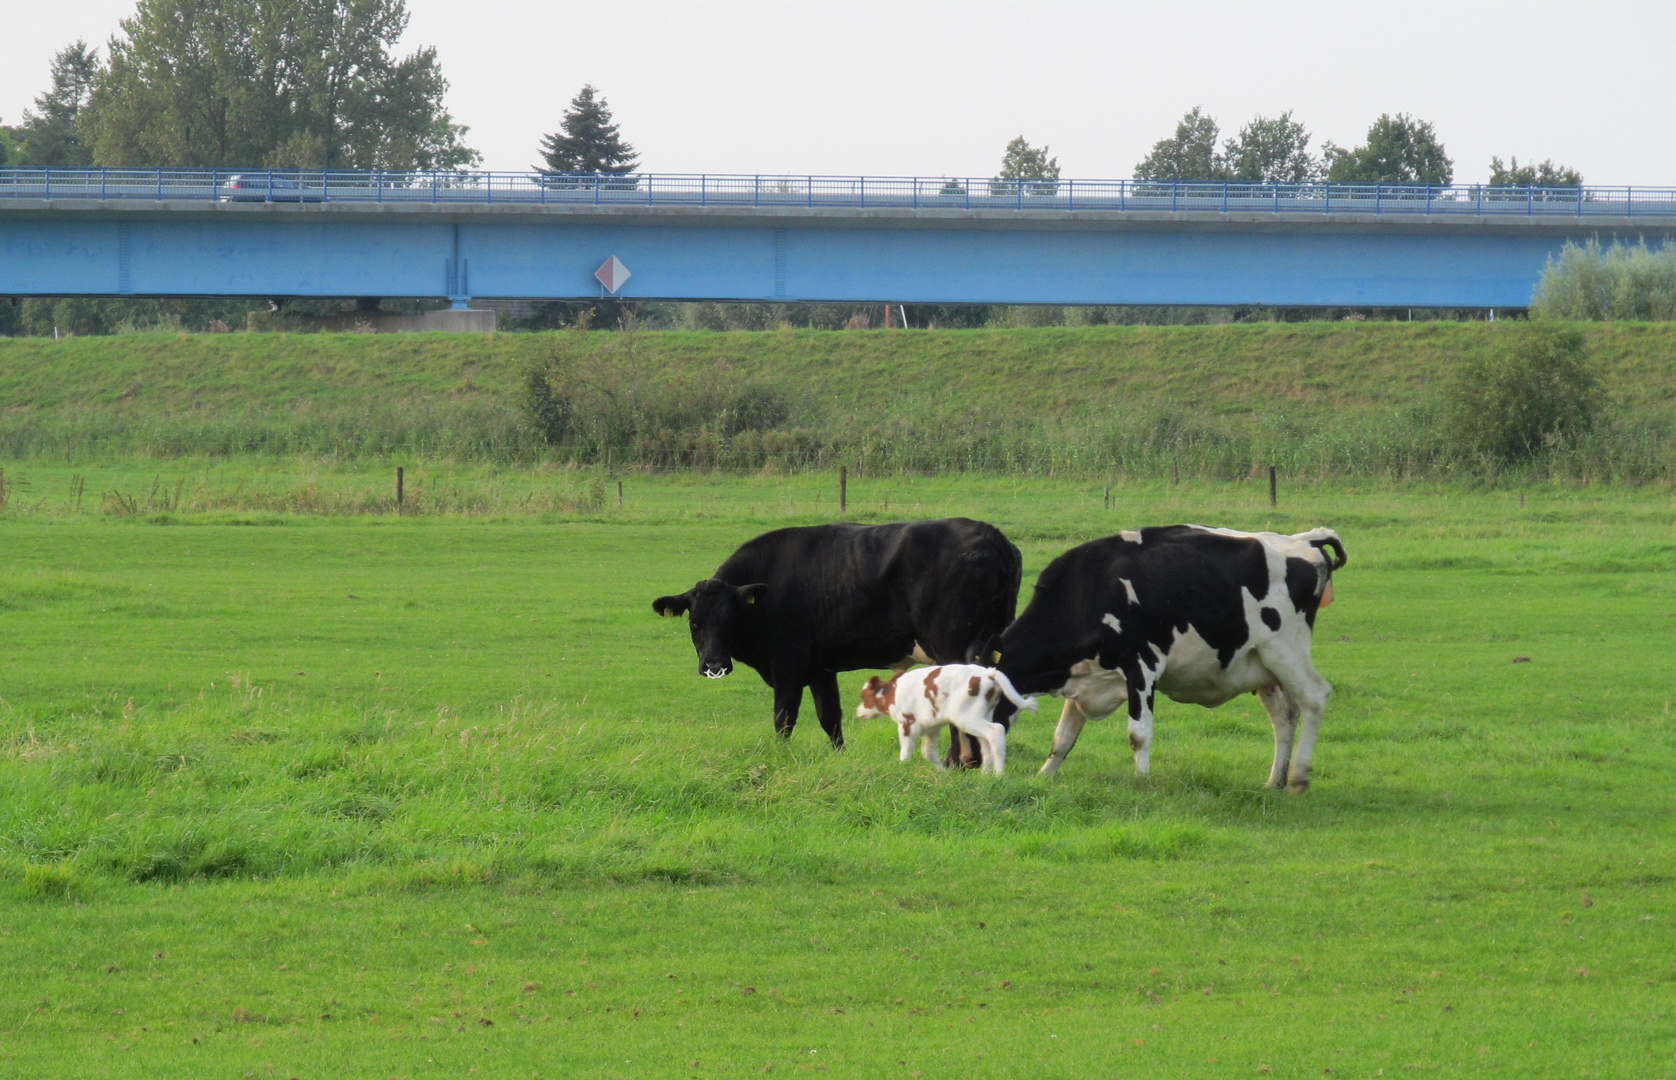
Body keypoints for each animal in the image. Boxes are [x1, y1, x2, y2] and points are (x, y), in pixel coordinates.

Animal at [650, 519, 1019, 754]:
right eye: (695, 623)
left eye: (729, 620)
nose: (713, 665)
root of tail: (991, 534)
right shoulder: (820, 669)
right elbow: (830, 718)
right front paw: (839, 756)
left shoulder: (788, 665)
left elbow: (784, 717)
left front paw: (781, 757)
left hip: (953, 648)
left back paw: (958, 764)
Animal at [858, 660, 1039, 771]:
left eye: (863, 696)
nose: (858, 711)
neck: (894, 693)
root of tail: (988, 672)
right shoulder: (932, 727)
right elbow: (928, 752)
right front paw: (942, 773)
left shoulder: (907, 724)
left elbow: (906, 750)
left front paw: (903, 767)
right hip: (982, 716)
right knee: (986, 742)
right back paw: (986, 775)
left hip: (967, 718)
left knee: (996, 731)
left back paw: (998, 774)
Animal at [985, 526, 1340, 788]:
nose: (980, 767)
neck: (1088, 591)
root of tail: (1302, 540)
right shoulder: (1084, 679)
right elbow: (1063, 737)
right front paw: (1044, 776)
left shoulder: (1141, 666)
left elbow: (1138, 734)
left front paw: (1142, 781)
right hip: (1262, 667)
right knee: (1285, 716)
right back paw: (1274, 781)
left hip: (1286, 650)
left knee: (1315, 697)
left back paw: (1298, 777)